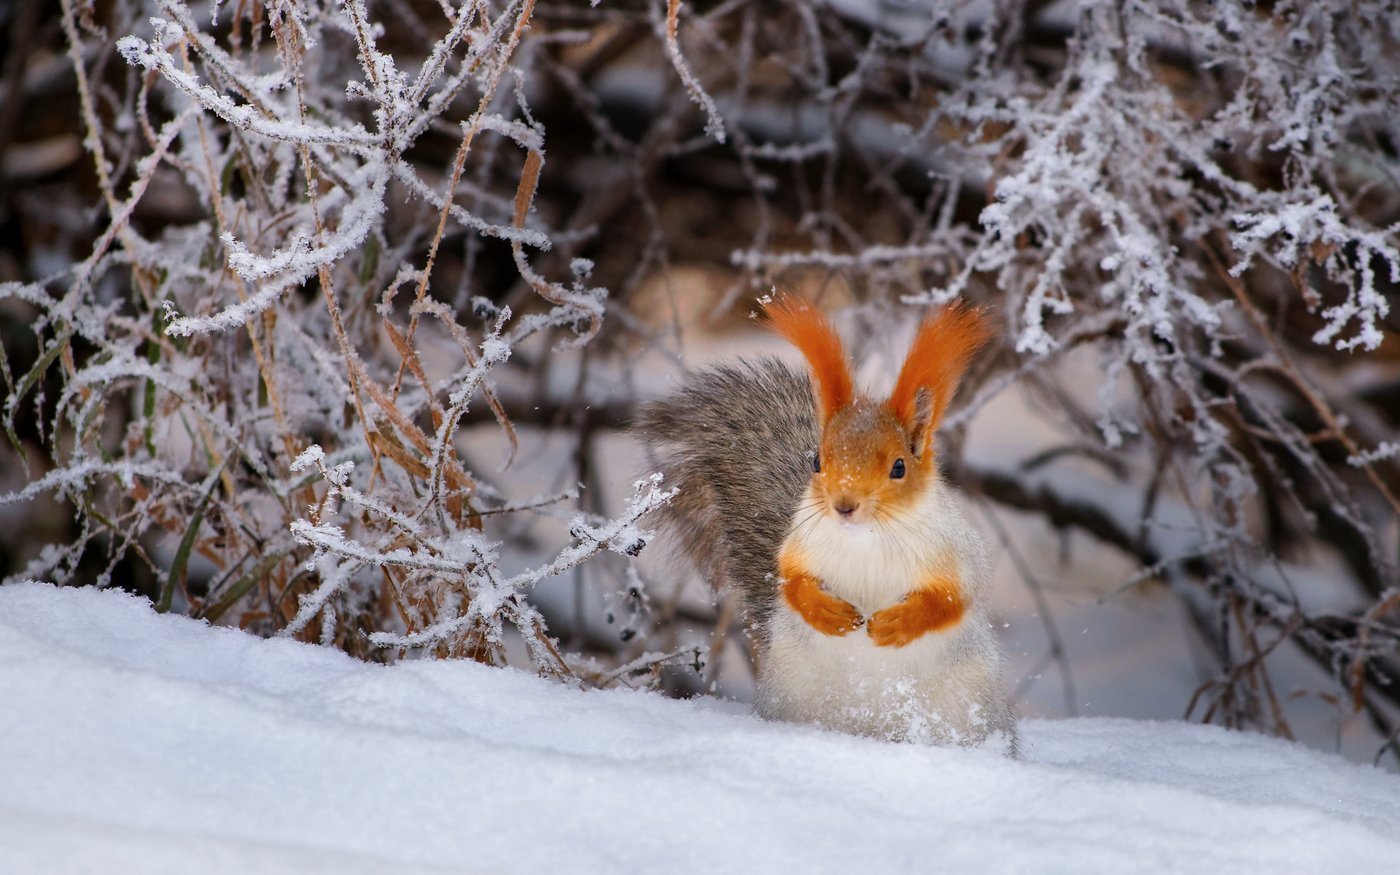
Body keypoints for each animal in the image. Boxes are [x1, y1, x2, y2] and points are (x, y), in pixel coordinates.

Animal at [638, 295, 1019, 750]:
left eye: (899, 467)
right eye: (817, 461)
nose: (844, 505)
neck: (865, 537)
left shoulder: (954, 552)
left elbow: (949, 600)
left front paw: (896, 624)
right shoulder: (800, 543)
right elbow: (791, 580)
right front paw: (828, 614)